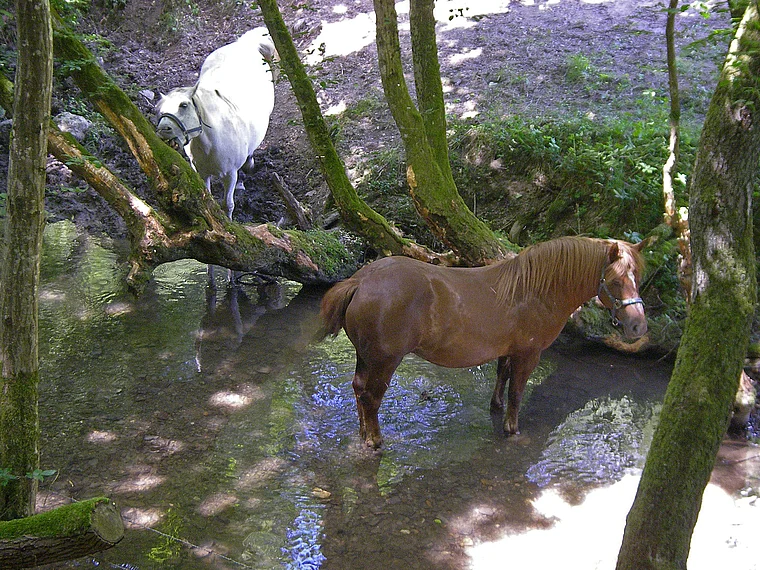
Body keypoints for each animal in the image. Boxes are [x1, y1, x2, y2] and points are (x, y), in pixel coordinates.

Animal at [156, 27, 276, 220]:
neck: (211, 143)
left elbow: (228, 204)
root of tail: (244, 44)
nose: (163, 130)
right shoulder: (201, 172)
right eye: (160, 111)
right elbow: (207, 197)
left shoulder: (231, 174)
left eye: (184, 105)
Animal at [318, 236, 650, 449]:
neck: (537, 290)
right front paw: (512, 429)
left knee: (358, 389)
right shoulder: (528, 354)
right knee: (371, 398)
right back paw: (374, 441)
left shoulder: (508, 351)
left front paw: (496, 407)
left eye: (638, 278)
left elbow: (502, 378)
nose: (638, 326)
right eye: (616, 280)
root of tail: (361, 281)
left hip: (365, 356)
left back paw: (363, 433)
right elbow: (517, 392)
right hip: (385, 360)